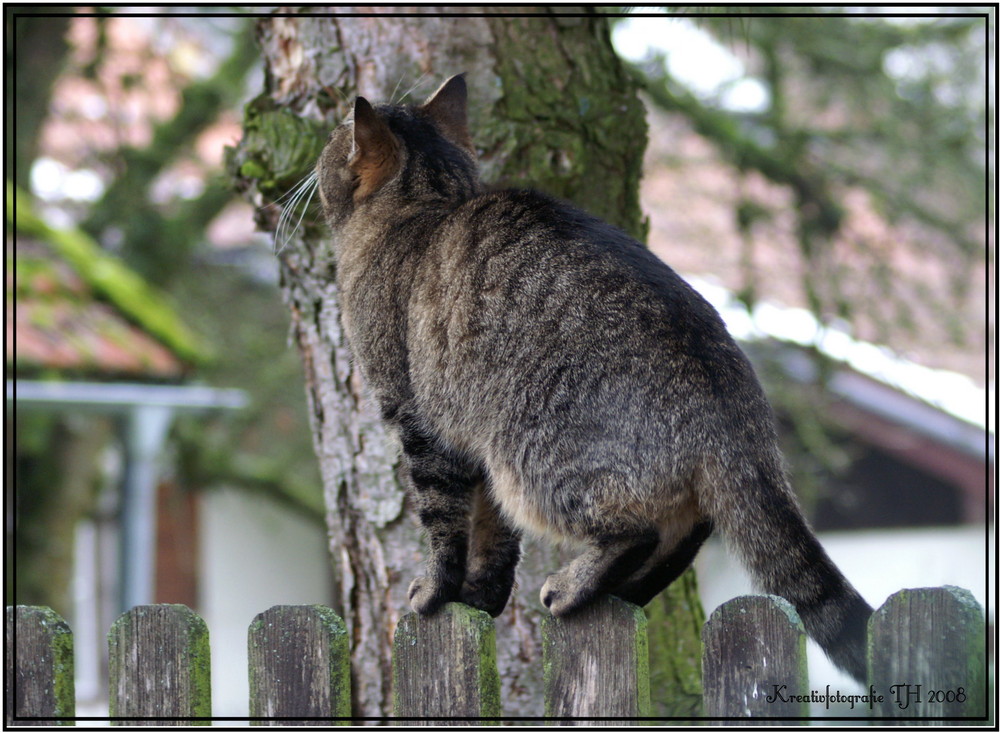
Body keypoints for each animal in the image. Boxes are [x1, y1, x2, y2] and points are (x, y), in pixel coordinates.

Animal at [314, 73, 876, 680]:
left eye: (336, 132)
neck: (426, 205)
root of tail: (737, 411)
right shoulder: (469, 445)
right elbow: (491, 535)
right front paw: (482, 595)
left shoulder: (420, 421)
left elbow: (444, 522)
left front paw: (438, 589)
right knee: (687, 535)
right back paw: (621, 593)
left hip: (535, 458)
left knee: (638, 532)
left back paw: (575, 586)